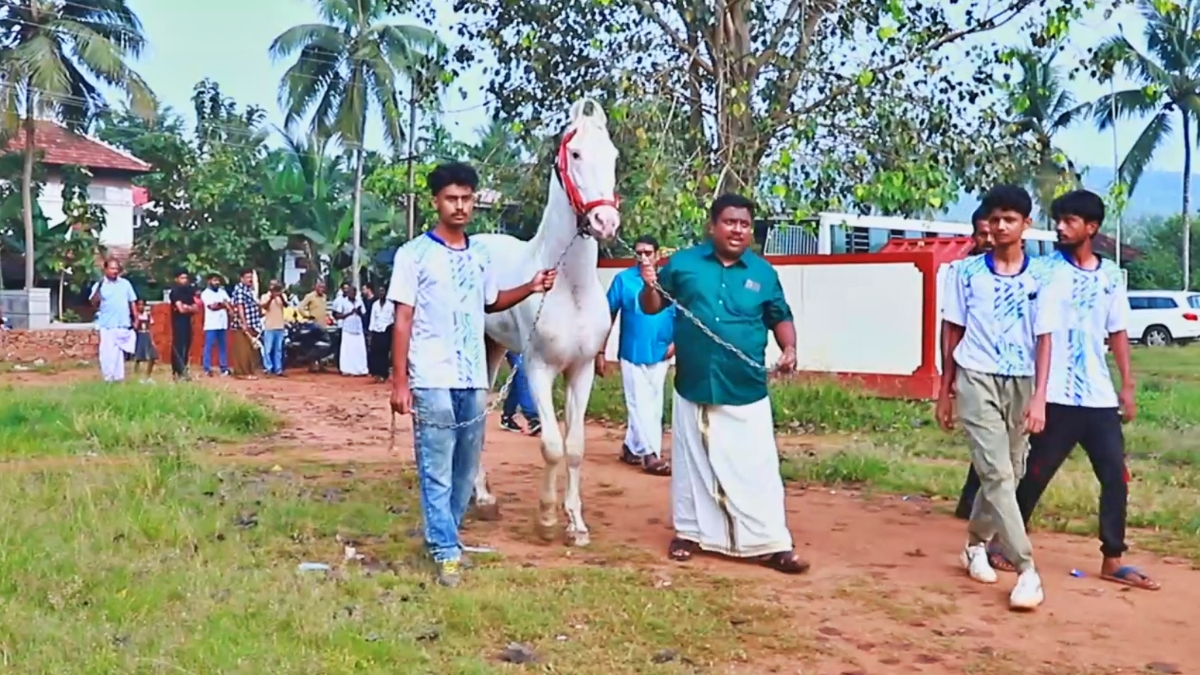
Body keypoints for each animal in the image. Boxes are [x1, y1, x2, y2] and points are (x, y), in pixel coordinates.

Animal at [468, 97, 619, 542]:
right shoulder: (537, 369)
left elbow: (575, 447)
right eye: (576, 154)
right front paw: (548, 518)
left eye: (613, 157)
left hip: (494, 349)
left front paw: (577, 523)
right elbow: (551, 445)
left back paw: (482, 495)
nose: (606, 222)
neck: (569, 288)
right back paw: (480, 496)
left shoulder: (581, 370)